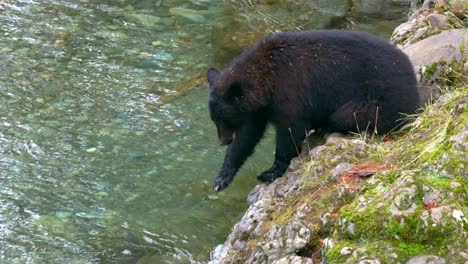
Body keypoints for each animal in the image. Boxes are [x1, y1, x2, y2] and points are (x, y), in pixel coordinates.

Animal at [207, 30, 418, 192]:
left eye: (224, 119)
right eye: (215, 120)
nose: (223, 141)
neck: (267, 77)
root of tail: (414, 80)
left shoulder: (290, 93)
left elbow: (290, 131)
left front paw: (271, 172)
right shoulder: (258, 109)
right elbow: (247, 136)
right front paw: (222, 178)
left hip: (377, 98)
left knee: (346, 116)